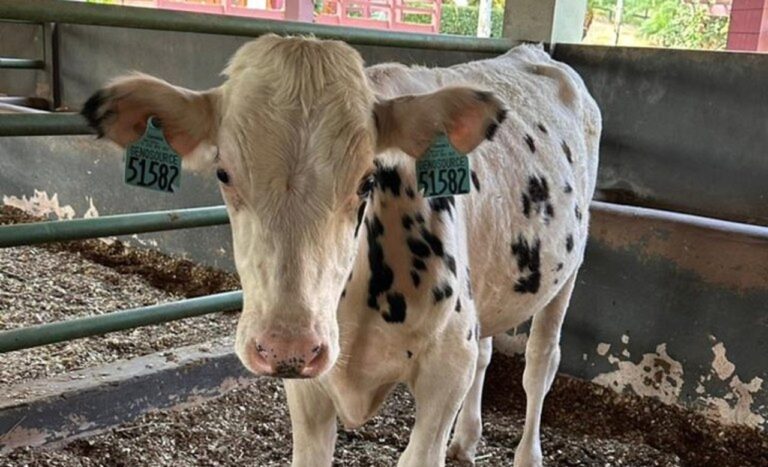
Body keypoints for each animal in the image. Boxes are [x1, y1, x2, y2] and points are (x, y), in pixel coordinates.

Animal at [84, 36, 600, 467]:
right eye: (224, 174)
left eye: (367, 180)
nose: (286, 345)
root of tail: (531, 50)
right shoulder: (307, 387)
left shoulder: (446, 366)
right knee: (489, 350)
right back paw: (467, 440)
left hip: (568, 272)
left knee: (540, 363)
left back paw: (527, 454)